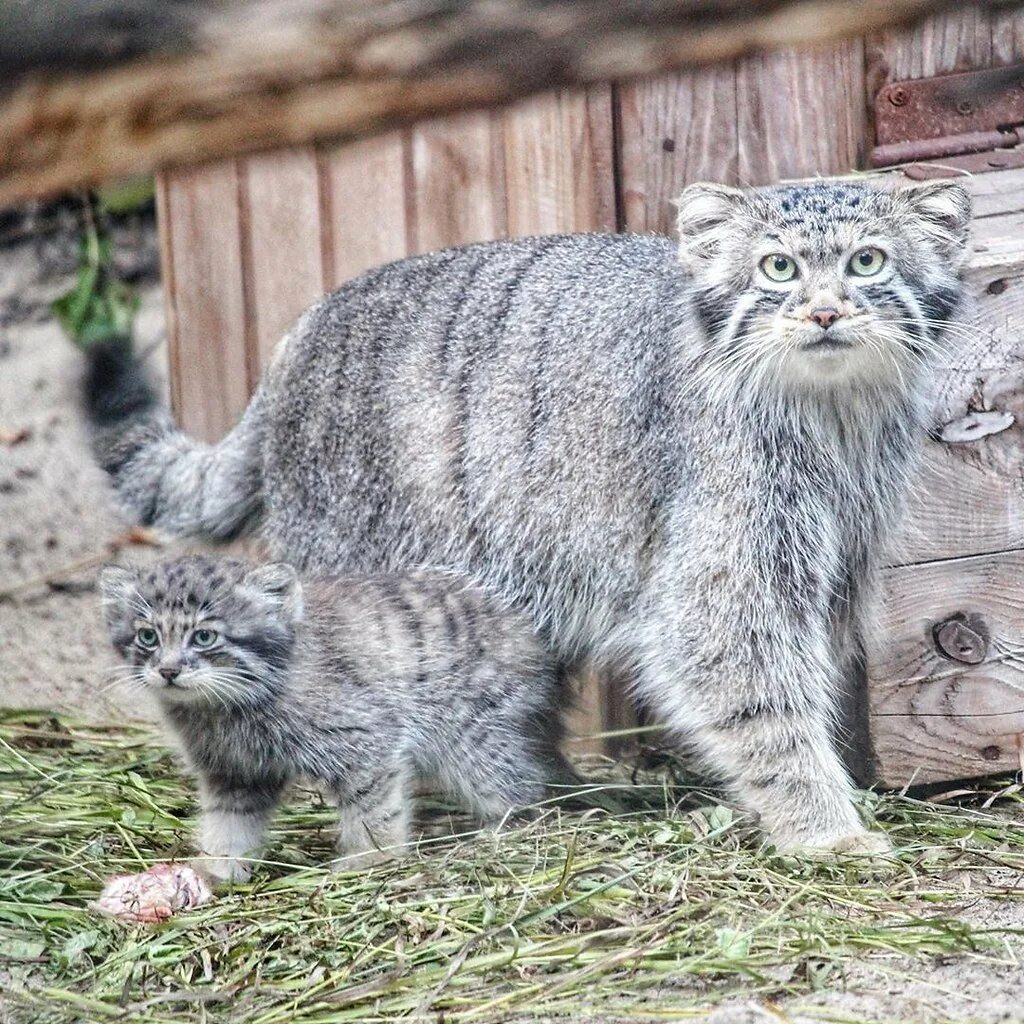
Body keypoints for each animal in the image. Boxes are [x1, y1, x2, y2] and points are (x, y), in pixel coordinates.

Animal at [99, 557, 565, 884]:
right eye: (147, 636)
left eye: (204, 637)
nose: (168, 671)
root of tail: (522, 625)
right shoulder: (234, 771)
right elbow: (228, 820)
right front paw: (219, 867)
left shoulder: (365, 742)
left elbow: (375, 810)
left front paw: (372, 861)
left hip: (476, 739)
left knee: (519, 787)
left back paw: (507, 833)